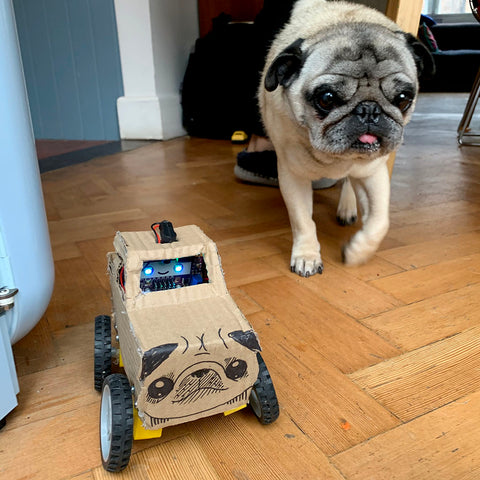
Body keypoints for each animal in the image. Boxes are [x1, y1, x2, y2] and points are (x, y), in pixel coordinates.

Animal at [260, 0, 434, 276]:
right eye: (327, 98)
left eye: (403, 98)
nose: (369, 110)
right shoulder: (293, 176)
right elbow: (303, 221)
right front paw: (307, 256)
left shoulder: (374, 173)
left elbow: (379, 221)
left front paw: (357, 252)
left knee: (351, 183)